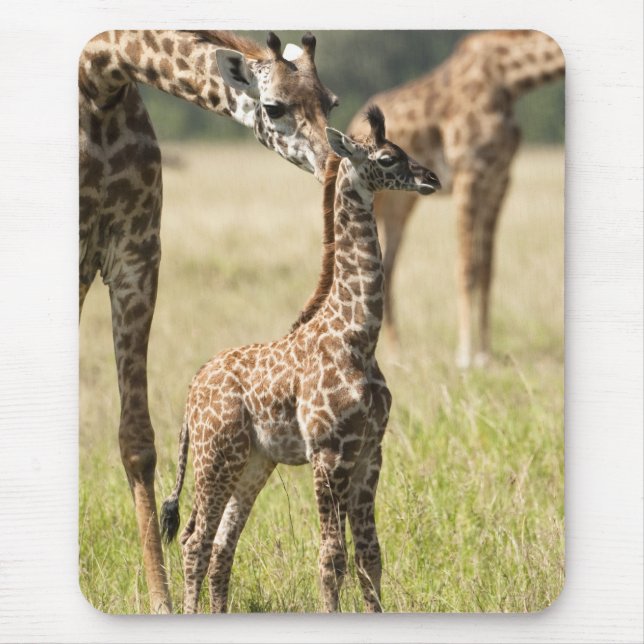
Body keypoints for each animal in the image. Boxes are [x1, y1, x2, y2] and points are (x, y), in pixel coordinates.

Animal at [79, 30, 338, 613]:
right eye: (274, 106)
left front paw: (161, 601)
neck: (98, 79)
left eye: (330, 103)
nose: (334, 162)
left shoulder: (135, 254)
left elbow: (137, 440)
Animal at [159, 106, 441, 613]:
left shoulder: (370, 451)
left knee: (220, 545)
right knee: (195, 540)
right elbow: (331, 557)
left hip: (253, 463)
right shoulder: (328, 454)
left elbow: (370, 555)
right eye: (388, 159)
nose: (432, 179)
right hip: (215, 456)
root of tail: (192, 389)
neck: (357, 336)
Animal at [349, 30, 565, 368]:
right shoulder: (468, 173)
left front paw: (485, 354)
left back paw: (397, 354)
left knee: (388, 266)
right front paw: (464, 354)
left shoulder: (499, 179)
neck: (510, 78)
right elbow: (467, 267)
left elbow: (487, 268)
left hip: (400, 204)